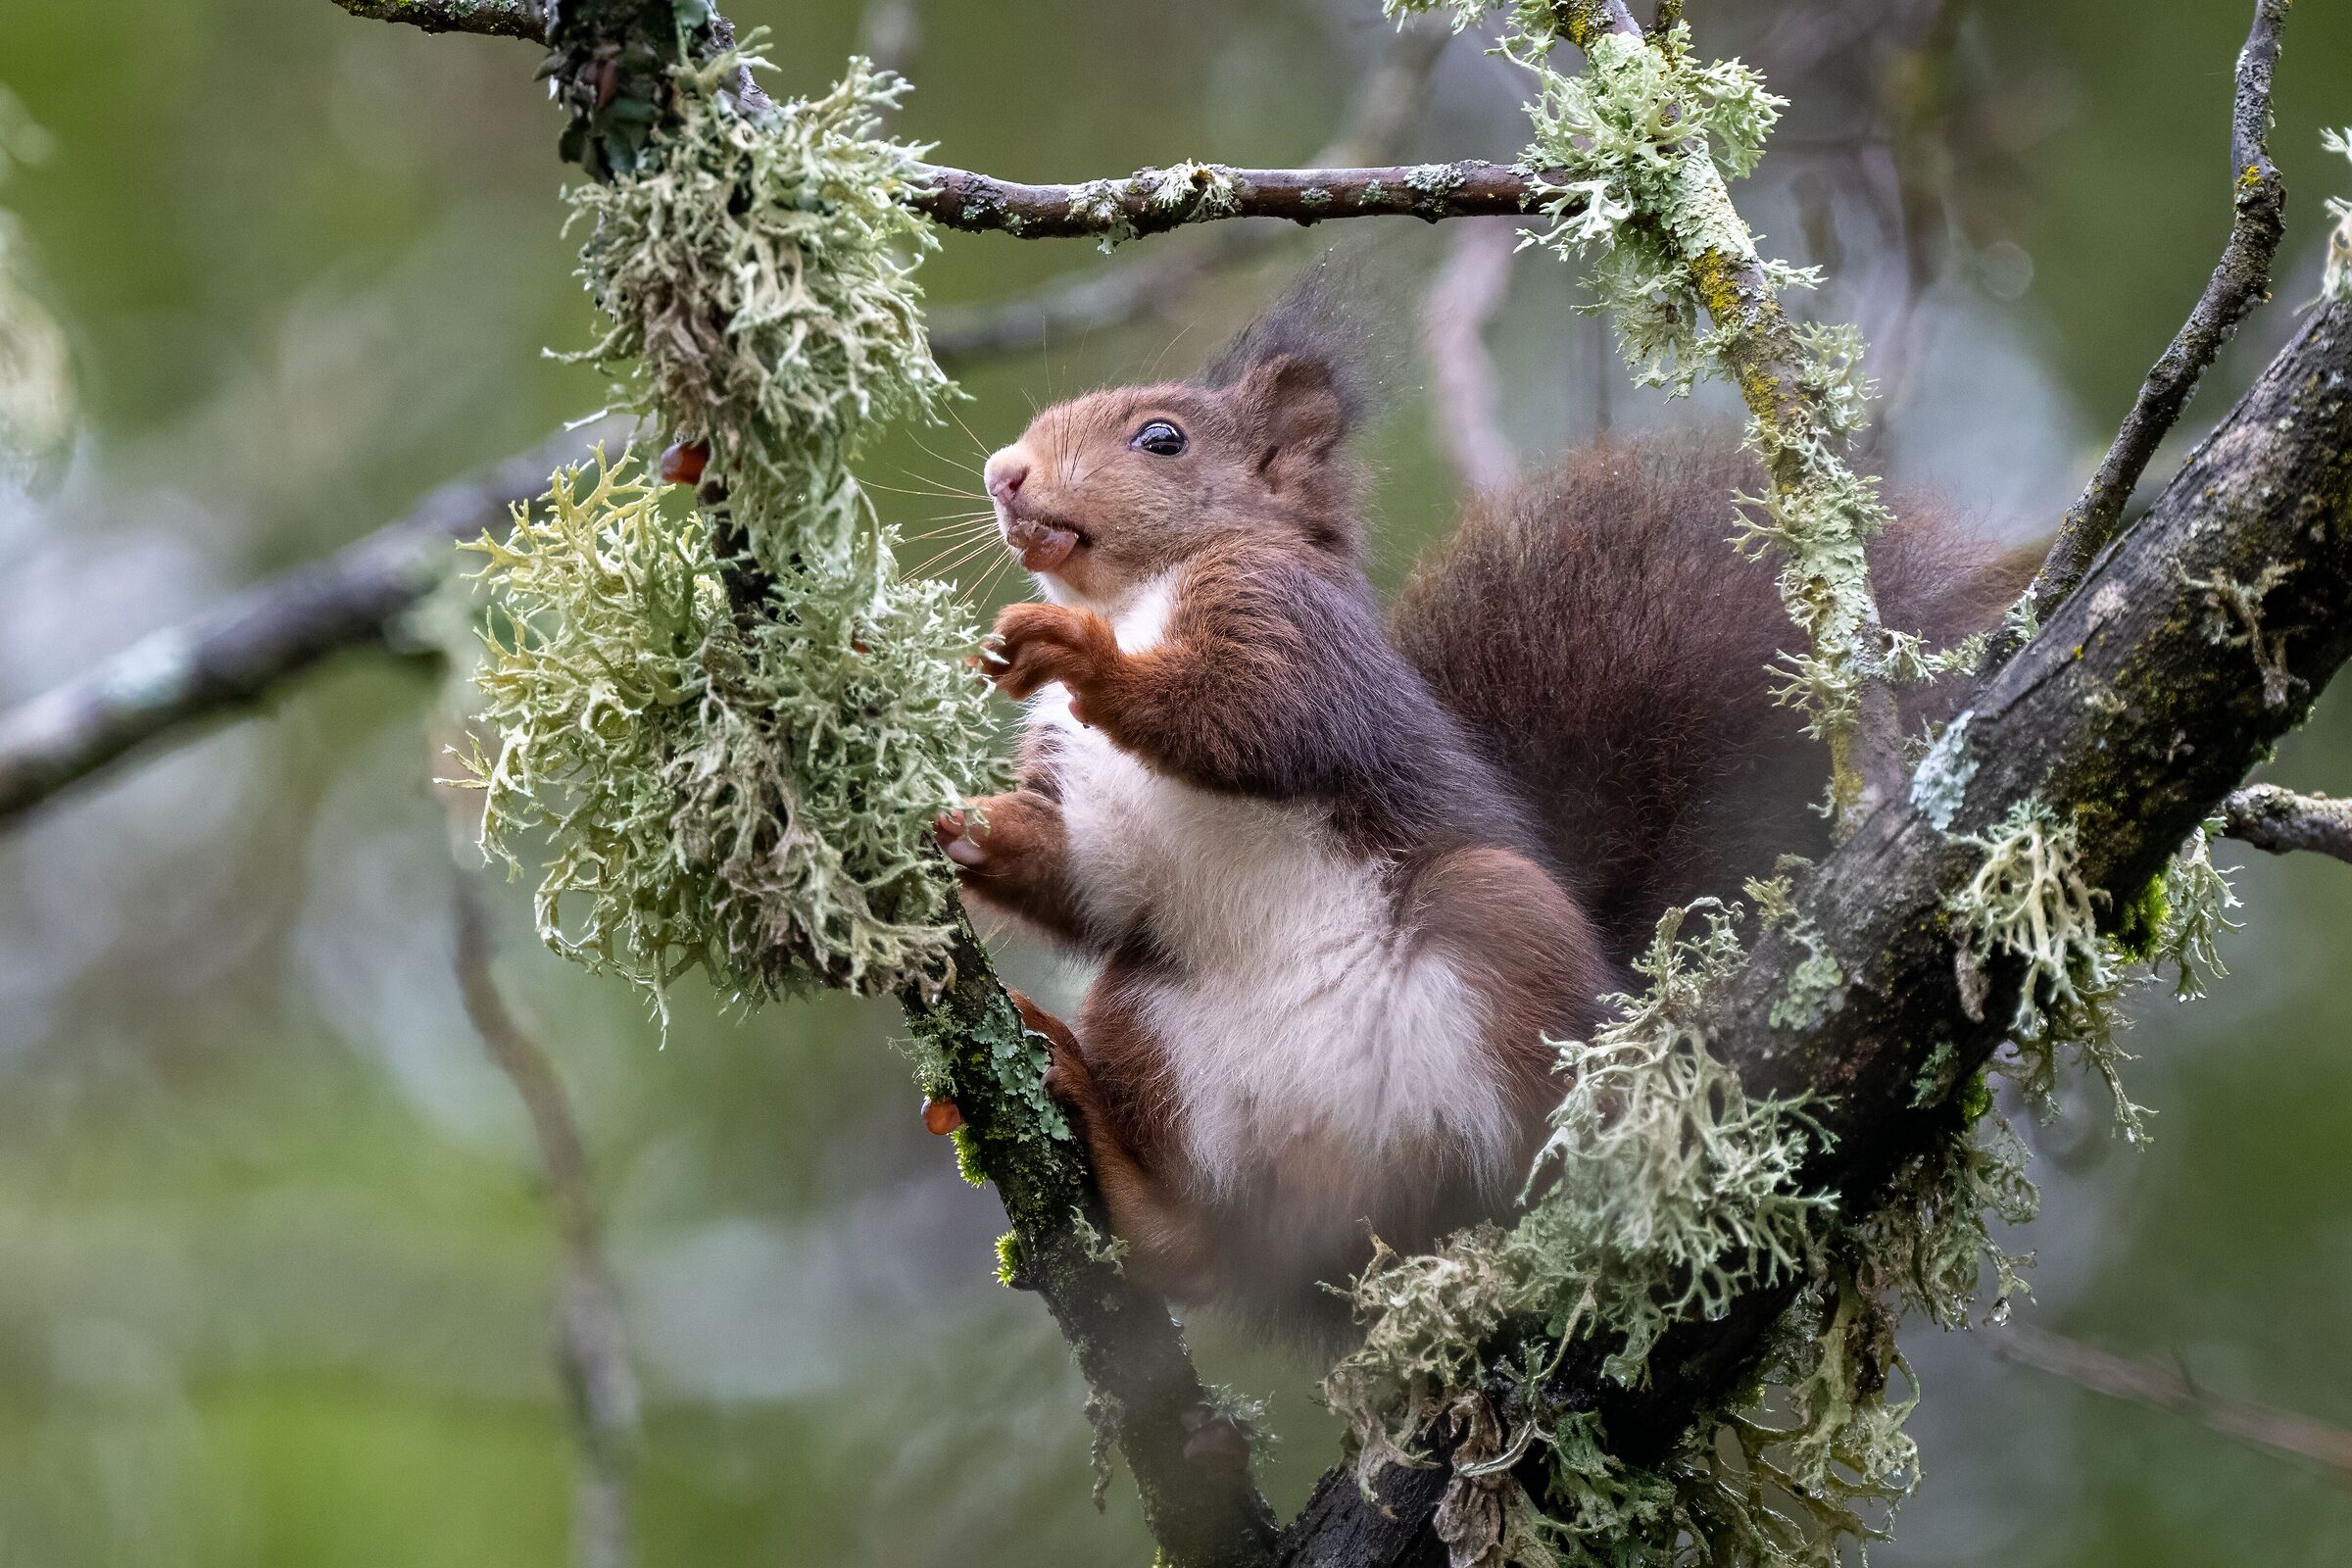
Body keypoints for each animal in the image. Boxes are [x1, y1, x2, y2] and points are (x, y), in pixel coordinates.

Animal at [931, 289, 2028, 1338]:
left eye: (1162, 438)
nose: (1002, 475)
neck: (1135, 597)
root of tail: (1355, 1204)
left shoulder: (1296, 633)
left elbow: (1245, 715)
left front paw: (1081, 654)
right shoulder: (1090, 812)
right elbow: (1087, 875)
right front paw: (954, 827)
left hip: (1501, 931)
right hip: (1148, 1018)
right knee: (1206, 1251)